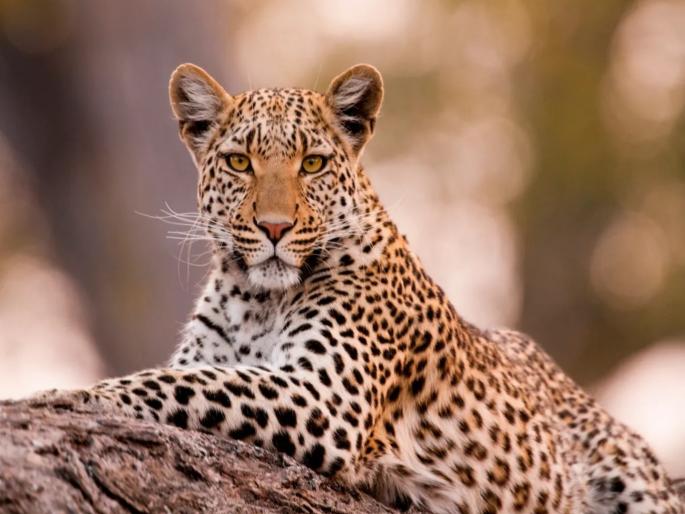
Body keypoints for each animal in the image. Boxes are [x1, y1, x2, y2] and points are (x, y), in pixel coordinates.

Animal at [33, 63, 682, 514]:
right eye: (240, 163)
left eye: (313, 164)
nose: (274, 228)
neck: (256, 300)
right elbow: (191, 373)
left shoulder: (326, 398)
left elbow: (185, 383)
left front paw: (63, 395)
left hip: (633, 479)